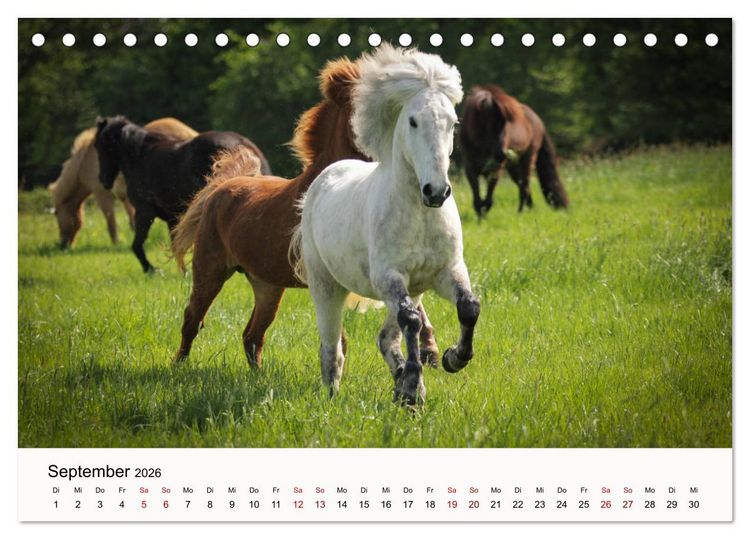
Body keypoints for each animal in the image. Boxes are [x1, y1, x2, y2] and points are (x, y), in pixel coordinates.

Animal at [49, 118, 198, 249]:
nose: (63, 245)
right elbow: (130, 215)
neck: (84, 163)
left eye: (57, 216)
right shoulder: (125, 195)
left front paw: (115, 243)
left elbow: (111, 221)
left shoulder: (102, 194)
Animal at [94, 116, 271, 272]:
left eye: (99, 146)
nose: (103, 180)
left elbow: (137, 245)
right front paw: (182, 273)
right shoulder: (172, 218)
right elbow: (176, 245)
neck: (140, 157)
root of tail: (244, 143)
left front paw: (150, 269)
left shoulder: (144, 212)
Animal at [170, 57, 441, 370]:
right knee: (193, 318)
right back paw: (178, 365)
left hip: (267, 285)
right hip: (210, 270)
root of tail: (222, 187)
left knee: (252, 335)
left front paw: (431, 351)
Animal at [291, 45, 480, 407]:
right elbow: (411, 323)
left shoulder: (447, 271)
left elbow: (468, 308)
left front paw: (452, 359)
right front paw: (413, 393)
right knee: (332, 347)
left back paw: (401, 380)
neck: (420, 216)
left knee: (387, 336)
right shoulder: (388, 277)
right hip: (326, 285)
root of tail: (323, 178)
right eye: (413, 121)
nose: (436, 192)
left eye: (453, 122)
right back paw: (334, 394)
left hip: (414, 289)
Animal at [459, 84, 569, 216]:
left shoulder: (496, 170)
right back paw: (529, 210)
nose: (502, 155)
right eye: (490, 124)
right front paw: (481, 215)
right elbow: (477, 199)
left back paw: (520, 213)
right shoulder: (470, 170)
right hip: (514, 168)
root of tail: (538, 120)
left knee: (525, 187)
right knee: (524, 187)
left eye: (505, 126)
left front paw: (485, 211)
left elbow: (488, 197)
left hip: (528, 160)